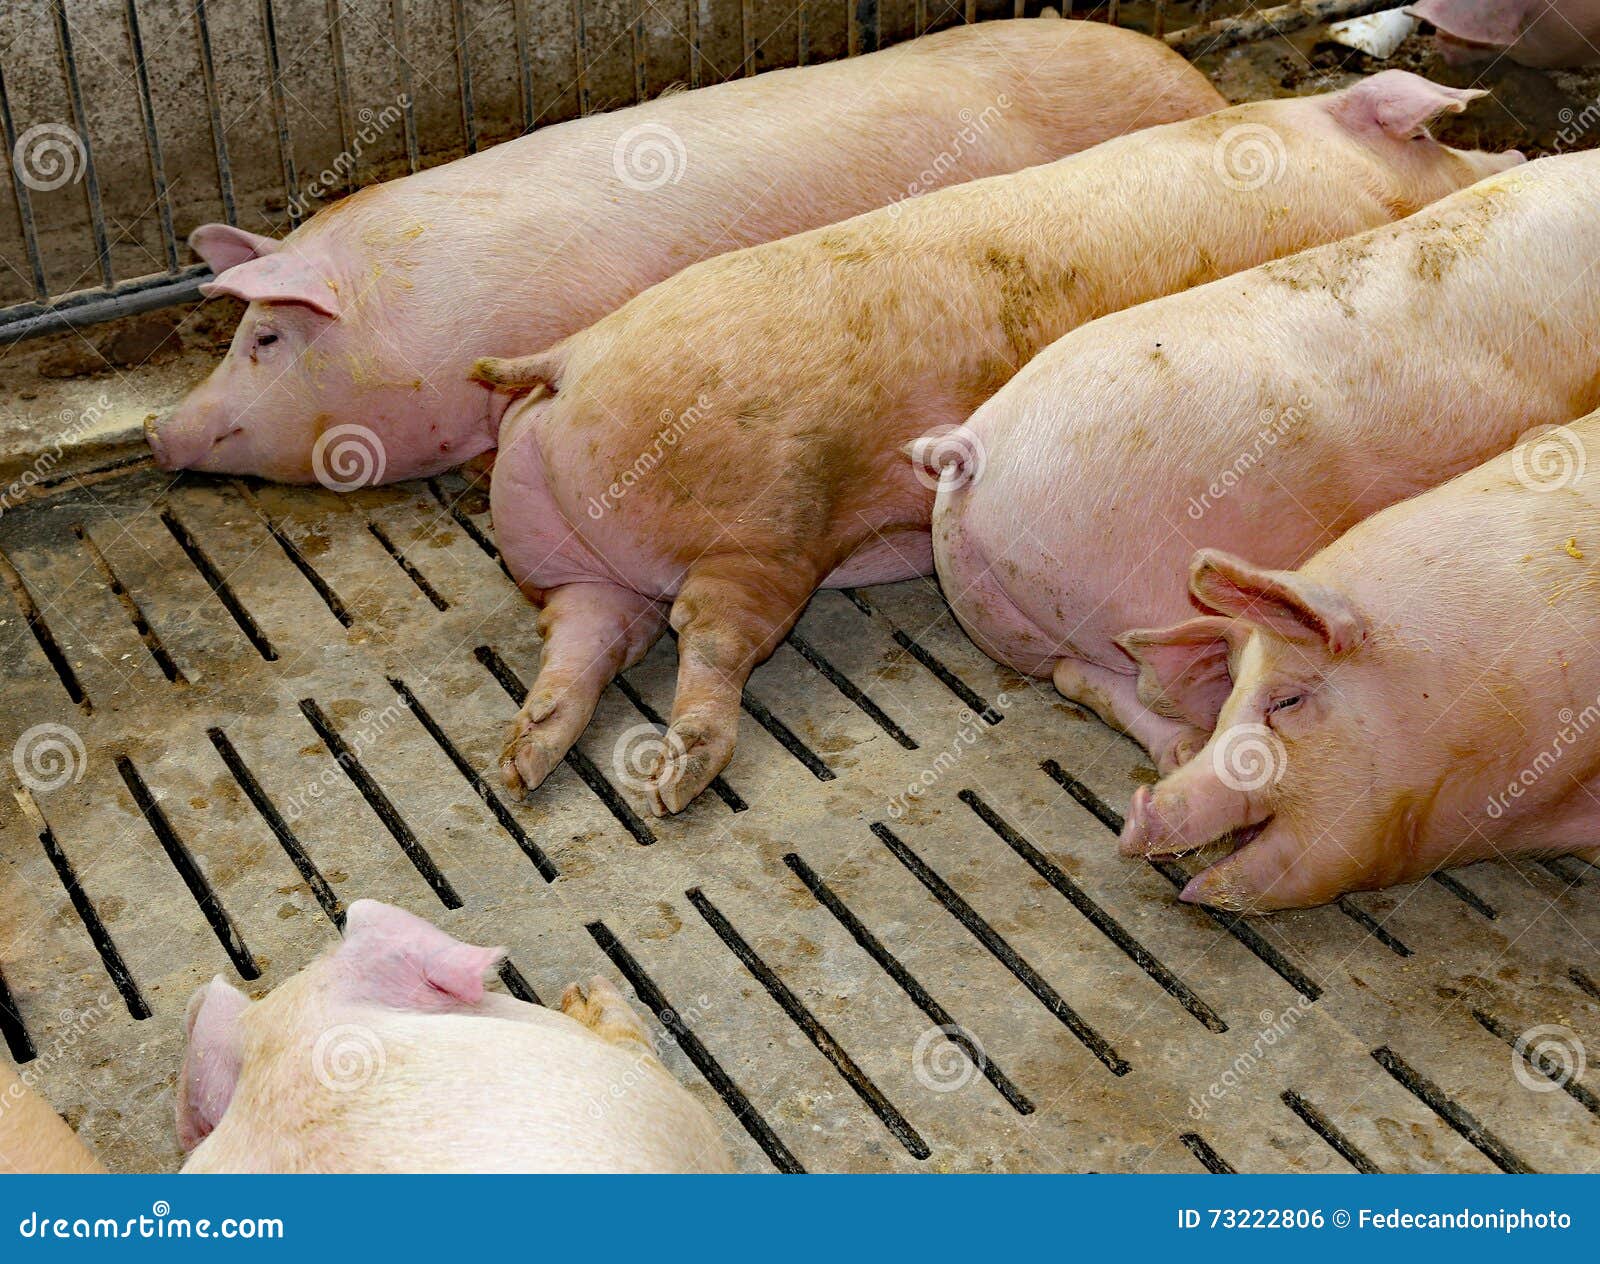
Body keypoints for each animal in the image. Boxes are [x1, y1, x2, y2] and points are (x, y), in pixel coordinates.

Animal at [473, 71, 1517, 817]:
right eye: (1430, 135)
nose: (1506, 147)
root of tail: (568, 360)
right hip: (763, 530)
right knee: (710, 639)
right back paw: (670, 784)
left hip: (580, 562)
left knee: (580, 636)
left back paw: (516, 769)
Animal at [928, 149, 1600, 804]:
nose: (1514, 148)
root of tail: (974, 453)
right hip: (1132, 574)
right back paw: (1190, 746)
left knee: (1082, 678)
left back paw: (1177, 747)